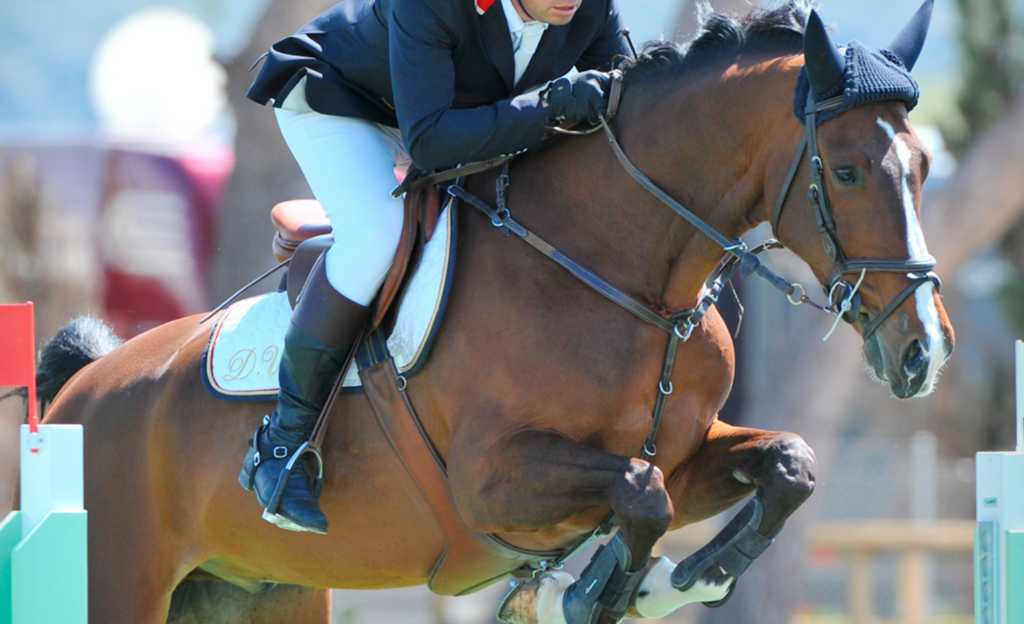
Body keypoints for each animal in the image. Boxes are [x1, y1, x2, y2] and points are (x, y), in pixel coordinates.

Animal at [24, 2, 950, 618]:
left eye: (925, 166)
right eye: (848, 171)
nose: (925, 353)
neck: (620, 271)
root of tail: (81, 390)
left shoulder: (687, 454)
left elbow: (786, 464)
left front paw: (685, 579)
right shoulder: (491, 483)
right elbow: (641, 492)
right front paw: (606, 591)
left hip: (260, 589)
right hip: (120, 583)